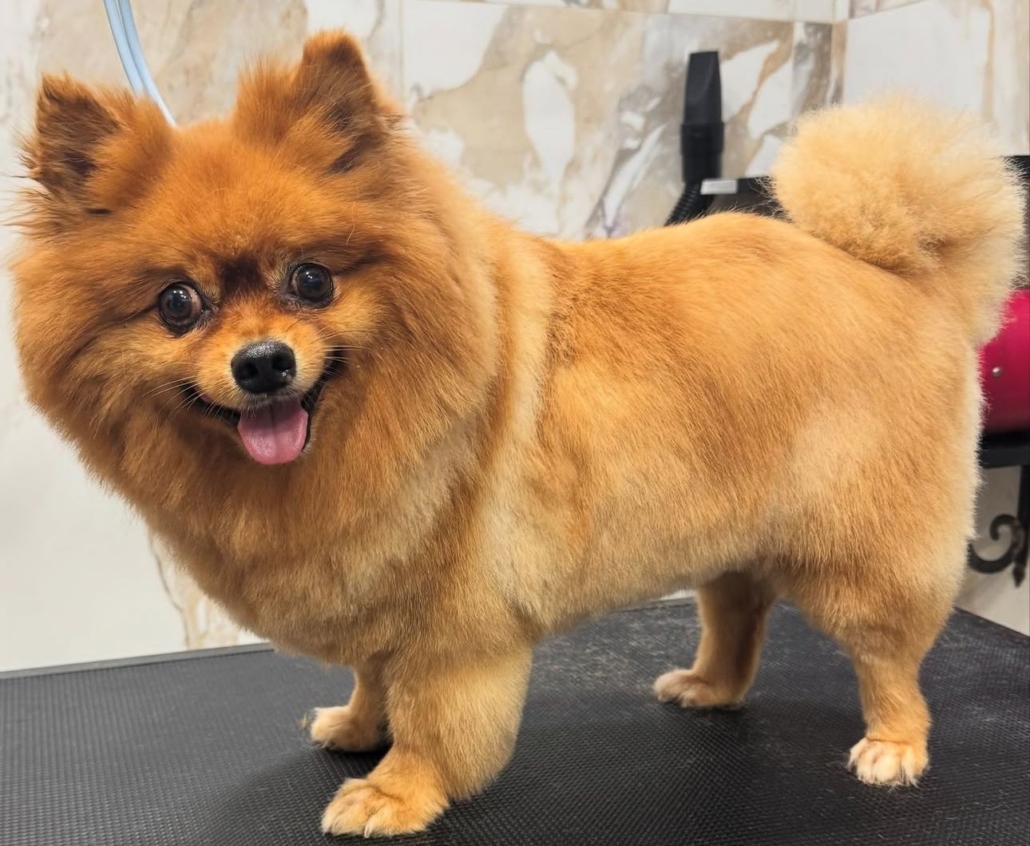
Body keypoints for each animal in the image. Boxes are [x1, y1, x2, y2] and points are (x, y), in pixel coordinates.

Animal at [11, 30, 1025, 837]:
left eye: (311, 281)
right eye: (178, 304)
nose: (263, 363)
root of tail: (906, 274)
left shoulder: (452, 628)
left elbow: (431, 719)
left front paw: (396, 790)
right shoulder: (380, 587)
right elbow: (373, 677)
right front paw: (357, 728)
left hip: (863, 555)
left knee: (889, 655)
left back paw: (892, 745)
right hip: (728, 531)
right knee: (740, 613)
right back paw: (707, 686)